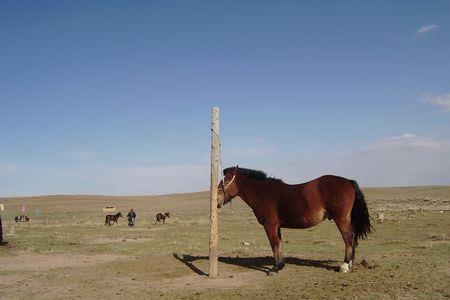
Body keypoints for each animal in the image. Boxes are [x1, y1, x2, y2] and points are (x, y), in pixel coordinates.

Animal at [218, 165, 372, 276]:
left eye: (228, 178)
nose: (217, 200)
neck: (263, 193)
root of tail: (348, 182)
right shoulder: (277, 226)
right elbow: (279, 244)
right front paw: (281, 265)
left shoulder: (270, 225)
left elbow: (274, 245)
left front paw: (274, 269)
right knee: (353, 239)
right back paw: (351, 265)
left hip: (341, 219)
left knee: (348, 238)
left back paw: (345, 266)